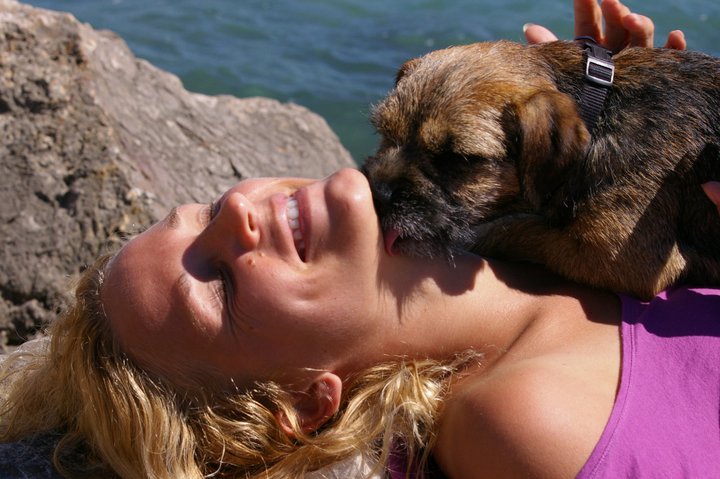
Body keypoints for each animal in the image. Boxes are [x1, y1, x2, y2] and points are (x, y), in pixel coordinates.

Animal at [362, 39, 720, 299]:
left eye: (459, 160)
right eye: (384, 132)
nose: (377, 194)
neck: (601, 111)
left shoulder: (620, 260)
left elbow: (518, 230)